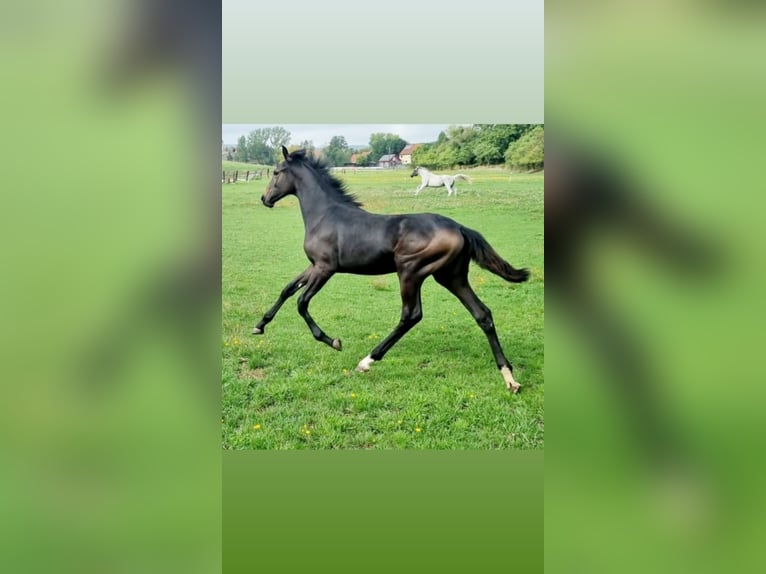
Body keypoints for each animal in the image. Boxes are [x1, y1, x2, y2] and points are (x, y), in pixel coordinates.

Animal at [255, 146, 532, 394]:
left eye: (277, 172)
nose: (264, 199)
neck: (325, 216)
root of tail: (460, 227)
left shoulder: (325, 268)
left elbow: (301, 302)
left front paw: (333, 341)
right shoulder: (314, 266)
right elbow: (287, 289)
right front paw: (259, 325)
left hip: (410, 272)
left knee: (411, 315)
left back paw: (367, 361)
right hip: (451, 276)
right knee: (482, 314)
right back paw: (509, 377)